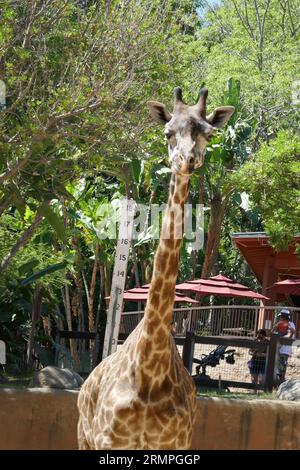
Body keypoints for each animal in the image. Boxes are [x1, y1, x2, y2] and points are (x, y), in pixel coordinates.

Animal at [77, 86, 234, 450]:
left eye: (208, 133)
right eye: (167, 132)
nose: (186, 160)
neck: (149, 373)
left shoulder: (177, 442)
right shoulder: (109, 441)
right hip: (83, 436)